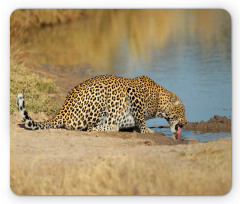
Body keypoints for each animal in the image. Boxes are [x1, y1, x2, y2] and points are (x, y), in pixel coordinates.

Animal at [16, 75, 188, 134]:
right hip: (100, 94)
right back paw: (112, 127)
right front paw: (146, 130)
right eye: (183, 111)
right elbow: (140, 117)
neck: (158, 100)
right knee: (90, 128)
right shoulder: (134, 93)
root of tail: (64, 109)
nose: (186, 123)